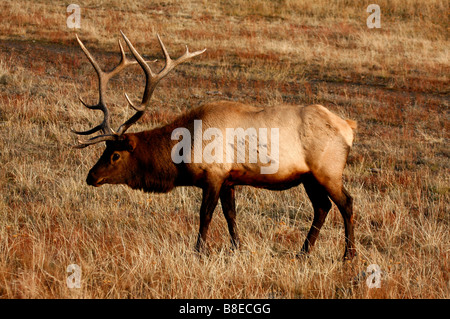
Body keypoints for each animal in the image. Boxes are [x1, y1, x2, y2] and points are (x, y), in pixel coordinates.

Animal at [72, 32, 356, 262]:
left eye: (115, 155)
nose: (90, 176)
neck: (181, 152)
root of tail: (349, 127)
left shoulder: (214, 174)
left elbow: (205, 214)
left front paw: (199, 250)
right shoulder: (230, 179)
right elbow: (231, 215)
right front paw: (237, 247)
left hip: (328, 170)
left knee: (346, 202)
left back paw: (348, 255)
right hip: (309, 177)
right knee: (322, 207)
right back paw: (303, 252)